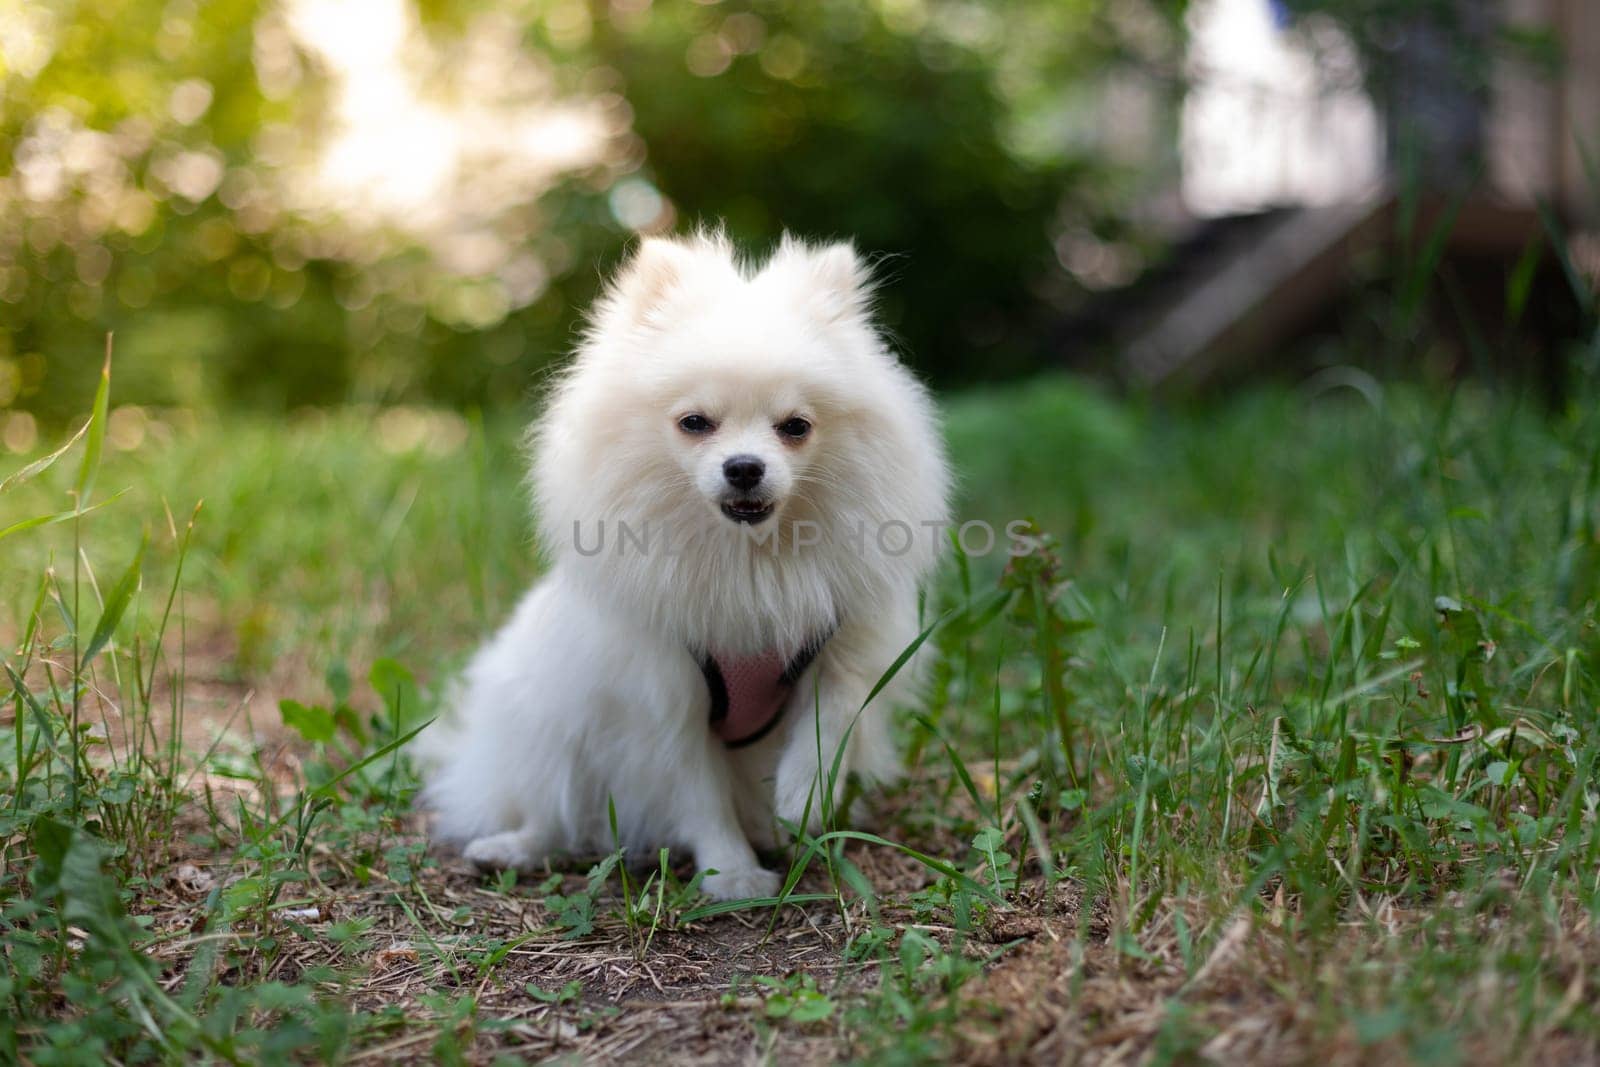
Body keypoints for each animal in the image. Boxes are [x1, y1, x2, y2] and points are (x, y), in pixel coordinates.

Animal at [425, 231, 947, 902]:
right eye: (695, 423)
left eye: (796, 427)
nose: (745, 466)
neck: (749, 559)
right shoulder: (665, 697)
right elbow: (701, 796)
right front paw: (733, 874)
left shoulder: (845, 649)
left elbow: (829, 725)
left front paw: (801, 799)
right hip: (547, 717)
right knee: (555, 812)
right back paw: (510, 847)